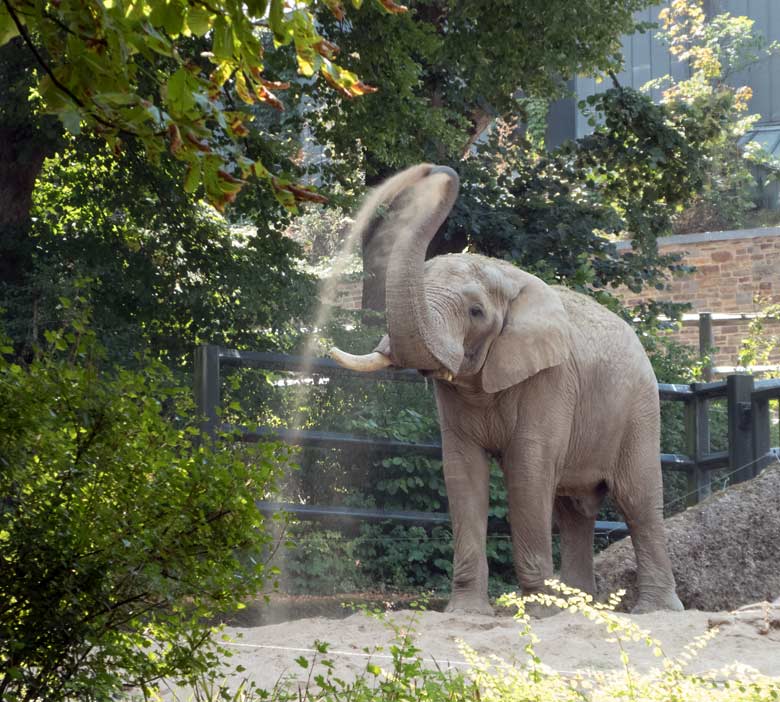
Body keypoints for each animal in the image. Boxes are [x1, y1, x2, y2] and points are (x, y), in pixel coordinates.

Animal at [330, 165, 684, 616]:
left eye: (476, 312)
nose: (436, 170)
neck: (507, 276)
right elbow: (462, 471)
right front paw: (467, 614)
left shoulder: (551, 379)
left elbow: (527, 470)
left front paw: (538, 612)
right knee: (574, 510)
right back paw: (579, 608)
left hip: (640, 408)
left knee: (637, 501)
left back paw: (654, 611)